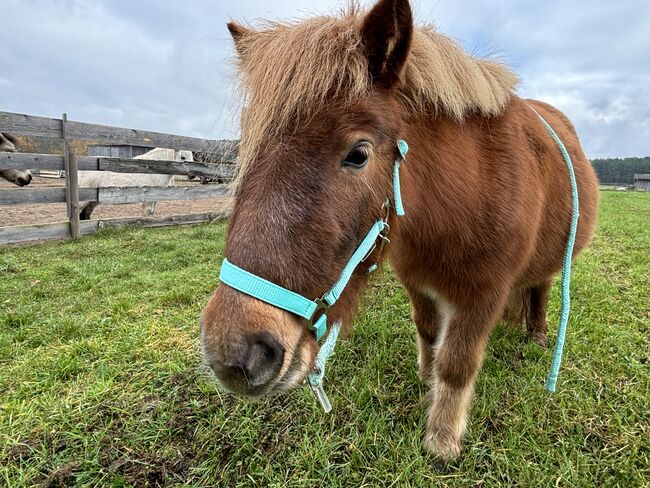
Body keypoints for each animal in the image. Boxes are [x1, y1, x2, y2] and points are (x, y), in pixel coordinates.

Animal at [199, 0, 596, 462]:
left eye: (358, 154)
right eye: (247, 148)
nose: (233, 354)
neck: (459, 204)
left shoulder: (484, 294)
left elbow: (457, 363)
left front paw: (442, 440)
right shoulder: (417, 281)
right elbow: (428, 332)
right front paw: (426, 379)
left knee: (542, 287)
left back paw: (538, 335)